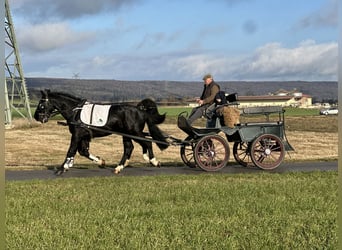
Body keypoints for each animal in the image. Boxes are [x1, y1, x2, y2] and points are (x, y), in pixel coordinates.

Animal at [34, 89, 169, 174]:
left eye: (41, 104)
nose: (36, 117)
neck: (76, 111)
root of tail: (140, 109)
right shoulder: (84, 136)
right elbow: (83, 152)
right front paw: (101, 161)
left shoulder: (77, 134)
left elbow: (71, 150)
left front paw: (63, 168)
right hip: (127, 134)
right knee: (129, 148)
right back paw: (120, 167)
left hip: (134, 132)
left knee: (147, 142)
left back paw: (153, 161)